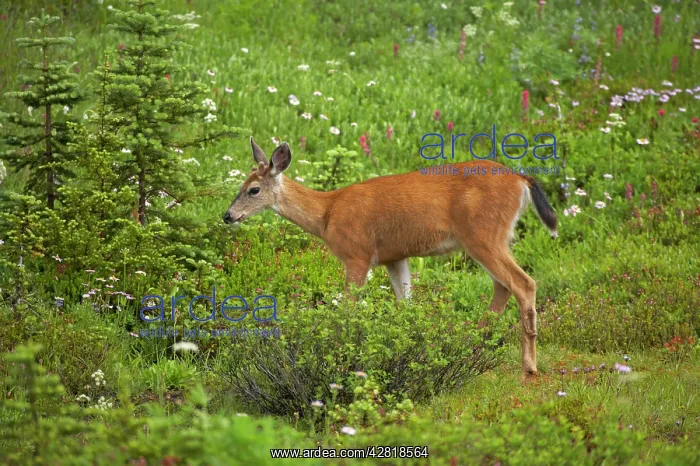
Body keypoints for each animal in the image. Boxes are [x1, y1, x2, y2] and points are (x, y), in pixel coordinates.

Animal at [223, 137, 558, 376]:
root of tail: (522, 180)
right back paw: (468, 348)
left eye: (253, 190)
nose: (228, 216)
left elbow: (348, 310)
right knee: (503, 286)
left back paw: (528, 366)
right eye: (241, 186)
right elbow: (405, 306)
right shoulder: (394, 258)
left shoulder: (357, 254)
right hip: (495, 238)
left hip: (483, 234)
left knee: (523, 283)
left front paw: (341, 356)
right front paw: (408, 351)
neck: (327, 213)